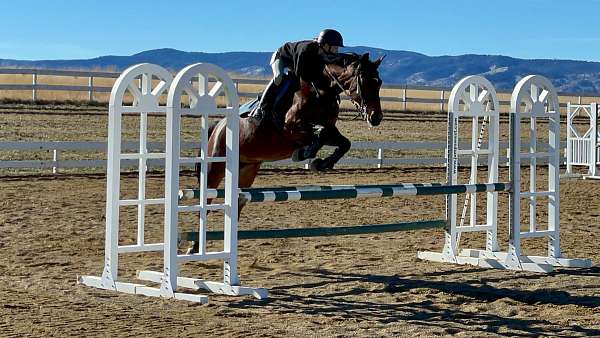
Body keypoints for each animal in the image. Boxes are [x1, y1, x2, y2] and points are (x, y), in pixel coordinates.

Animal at [199, 53, 382, 214]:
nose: (376, 117)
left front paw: (321, 163)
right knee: (206, 200)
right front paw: (304, 154)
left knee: (239, 201)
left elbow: (343, 143)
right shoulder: (290, 129)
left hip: (246, 169)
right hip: (214, 166)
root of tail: (218, 127)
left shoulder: (330, 130)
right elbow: (320, 134)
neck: (321, 91)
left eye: (379, 82)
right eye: (364, 81)